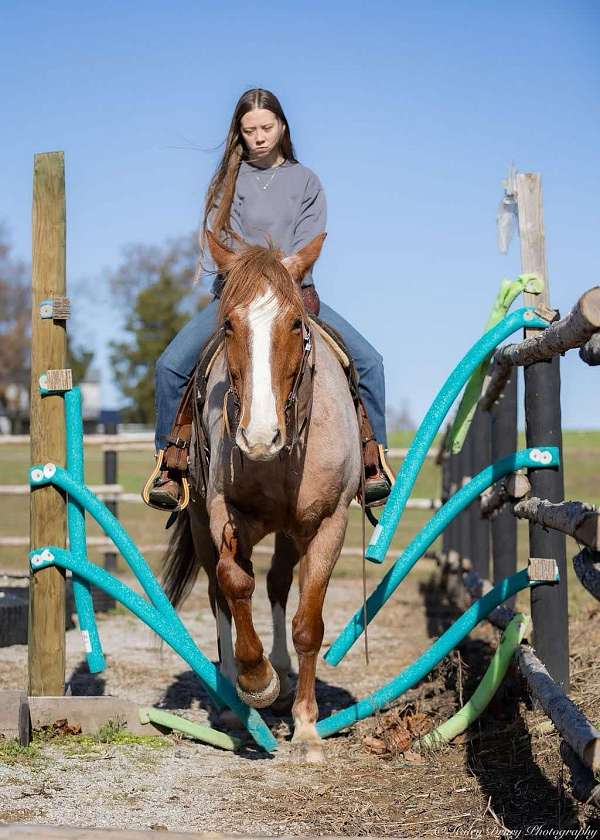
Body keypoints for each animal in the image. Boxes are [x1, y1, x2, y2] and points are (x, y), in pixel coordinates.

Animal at [161, 231, 360, 760]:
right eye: (230, 324)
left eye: (295, 322)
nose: (259, 436)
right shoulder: (221, 515)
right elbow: (234, 585)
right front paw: (255, 680)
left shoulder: (328, 522)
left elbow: (308, 623)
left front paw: (307, 726)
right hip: (204, 527)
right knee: (221, 597)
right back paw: (235, 698)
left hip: (291, 532)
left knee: (276, 584)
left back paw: (285, 672)